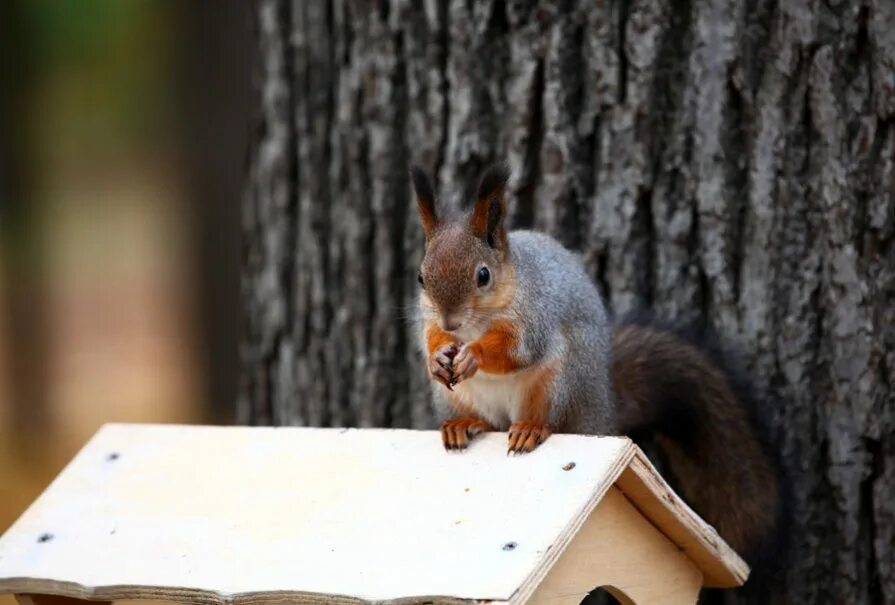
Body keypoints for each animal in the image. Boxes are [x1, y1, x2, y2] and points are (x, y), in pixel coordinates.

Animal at [412, 162, 784, 576]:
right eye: (421, 277)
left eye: (483, 275)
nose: (451, 320)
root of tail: (602, 409)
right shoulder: (429, 319)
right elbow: (430, 338)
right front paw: (437, 358)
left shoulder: (534, 318)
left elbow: (516, 351)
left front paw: (473, 355)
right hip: (458, 398)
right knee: (484, 421)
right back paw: (464, 424)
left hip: (562, 381)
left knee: (552, 422)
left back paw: (531, 429)